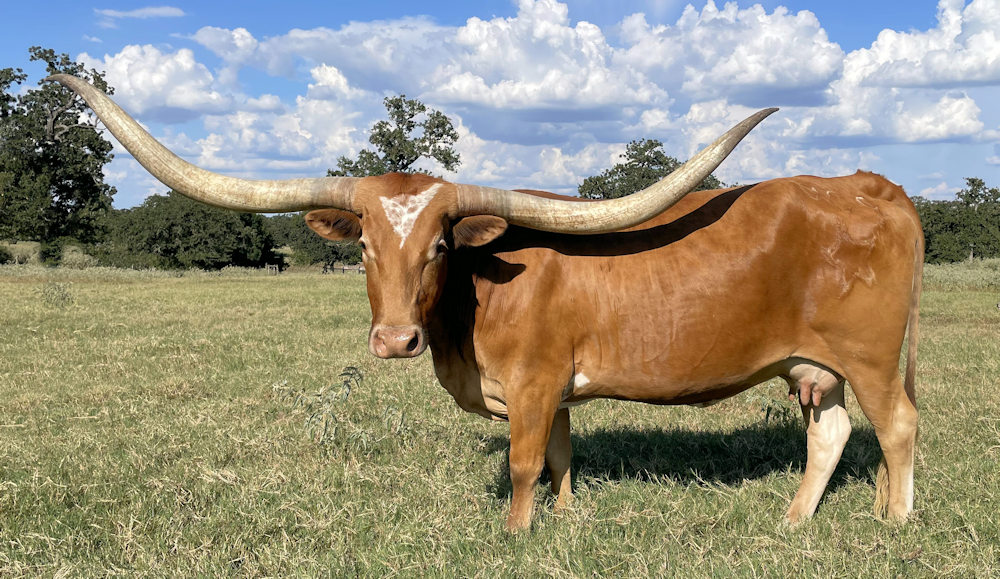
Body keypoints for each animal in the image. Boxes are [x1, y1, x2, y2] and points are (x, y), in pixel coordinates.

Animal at [50, 74, 922, 532]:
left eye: (441, 244)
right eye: (363, 245)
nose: (393, 341)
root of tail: (868, 184)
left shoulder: (534, 382)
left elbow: (525, 460)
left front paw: (518, 533)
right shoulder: (556, 389)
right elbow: (565, 455)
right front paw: (566, 519)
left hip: (872, 357)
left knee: (897, 427)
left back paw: (895, 522)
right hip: (815, 365)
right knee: (832, 431)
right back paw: (798, 519)